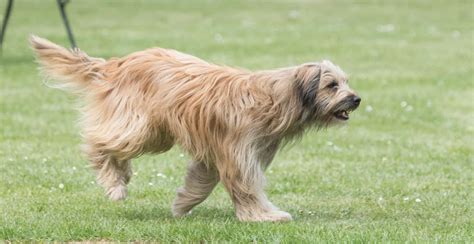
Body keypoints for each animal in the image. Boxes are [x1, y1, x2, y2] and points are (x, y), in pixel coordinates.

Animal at [31, 35, 362, 221]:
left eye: (345, 82)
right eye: (332, 85)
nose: (357, 99)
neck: (278, 97)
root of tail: (117, 63)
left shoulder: (222, 152)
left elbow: (202, 181)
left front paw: (182, 205)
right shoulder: (237, 151)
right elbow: (246, 185)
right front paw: (262, 216)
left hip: (153, 131)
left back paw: (121, 177)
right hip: (141, 127)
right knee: (98, 143)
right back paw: (115, 184)